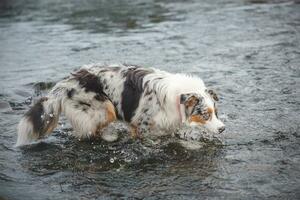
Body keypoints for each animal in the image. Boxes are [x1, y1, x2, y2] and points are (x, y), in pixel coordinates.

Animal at [15, 63, 224, 146]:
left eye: (216, 112)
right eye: (205, 114)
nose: (222, 129)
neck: (177, 98)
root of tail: (65, 83)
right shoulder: (142, 124)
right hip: (103, 109)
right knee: (89, 131)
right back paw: (110, 136)